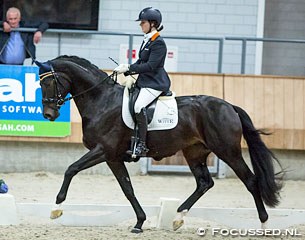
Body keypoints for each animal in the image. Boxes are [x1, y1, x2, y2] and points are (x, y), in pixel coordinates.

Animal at [38, 55, 282, 232]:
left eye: (49, 82)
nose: (49, 114)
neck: (101, 101)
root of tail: (230, 106)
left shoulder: (103, 150)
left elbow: (71, 169)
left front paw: (56, 209)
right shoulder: (113, 157)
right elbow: (127, 189)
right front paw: (139, 222)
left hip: (227, 151)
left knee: (250, 181)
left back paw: (264, 224)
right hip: (194, 152)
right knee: (204, 183)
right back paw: (178, 217)